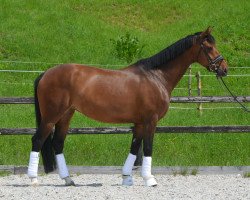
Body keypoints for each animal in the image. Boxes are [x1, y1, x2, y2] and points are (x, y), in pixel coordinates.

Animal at [27, 27, 229, 187]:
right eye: (209, 47)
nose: (224, 68)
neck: (156, 76)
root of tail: (46, 73)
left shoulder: (139, 123)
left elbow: (134, 148)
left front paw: (127, 178)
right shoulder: (150, 121)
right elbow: (147, 148)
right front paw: (149, 179)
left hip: (66, 115)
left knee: (57, 143)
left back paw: (68, 179)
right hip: (51, 116)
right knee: (37, 140)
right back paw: (33, 179)